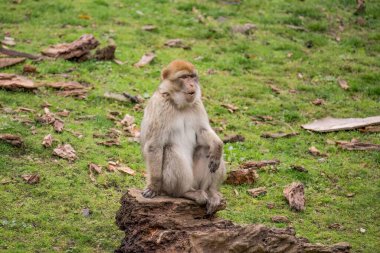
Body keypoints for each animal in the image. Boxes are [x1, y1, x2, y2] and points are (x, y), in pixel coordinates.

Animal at [140, 60, 226, 214]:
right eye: (184, 77)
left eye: (192, 77)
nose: (192, 85)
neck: (180, 104)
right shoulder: (160, 106)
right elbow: (154, 145)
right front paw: (153, 186)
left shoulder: (197, 104)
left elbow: (202, 132)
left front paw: (217, 146)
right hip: (169, 185)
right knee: (170, 149)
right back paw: (185, 192)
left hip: (197, 181)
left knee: (205, 148)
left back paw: (211, 191)